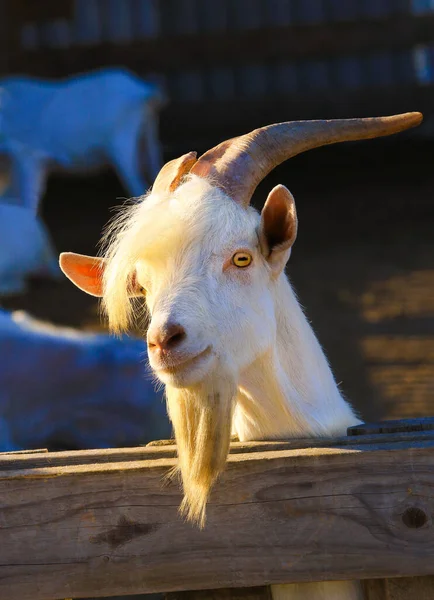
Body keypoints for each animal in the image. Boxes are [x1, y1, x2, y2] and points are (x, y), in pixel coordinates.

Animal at [0, 67, 165, 212]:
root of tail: (142, 91)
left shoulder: (27, 155)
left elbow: (27, 200)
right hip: (148, 137)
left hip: (122, 141)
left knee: (136, 184)